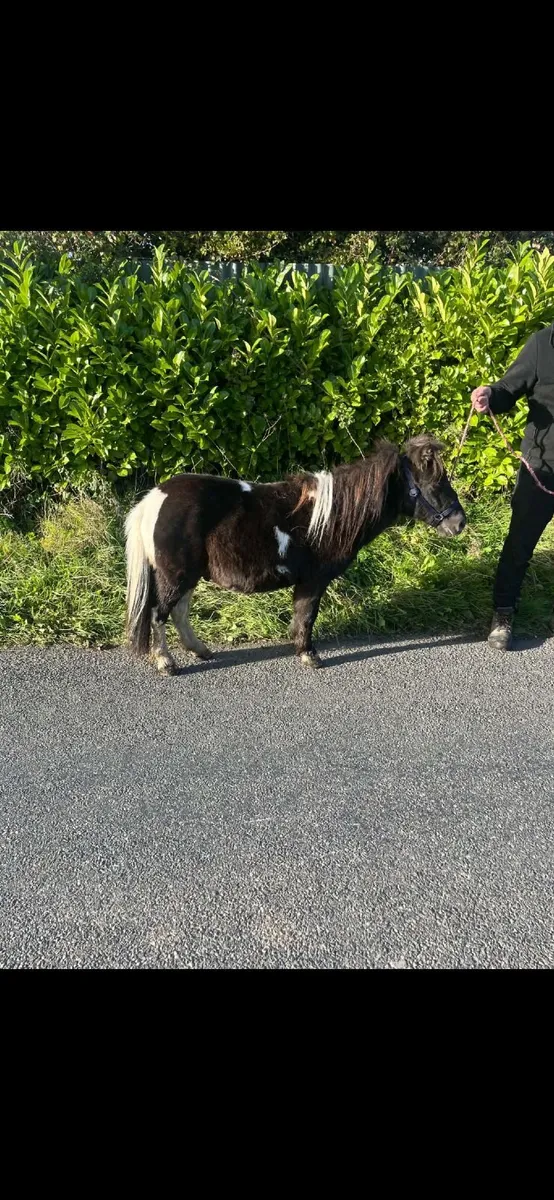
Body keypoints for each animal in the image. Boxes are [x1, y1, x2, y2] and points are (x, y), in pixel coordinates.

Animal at [124, 433, 466, 675]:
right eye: (436, 483)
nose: (459, 522)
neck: (330, 515)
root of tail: (155, 498)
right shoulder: (313, 580)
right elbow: (307, 616)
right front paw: (308, 655)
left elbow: (302, 615)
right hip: (176, 574)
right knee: (159, 614)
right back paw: (166, 663)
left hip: (188, 574)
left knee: (178, 612)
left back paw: (201, 651)